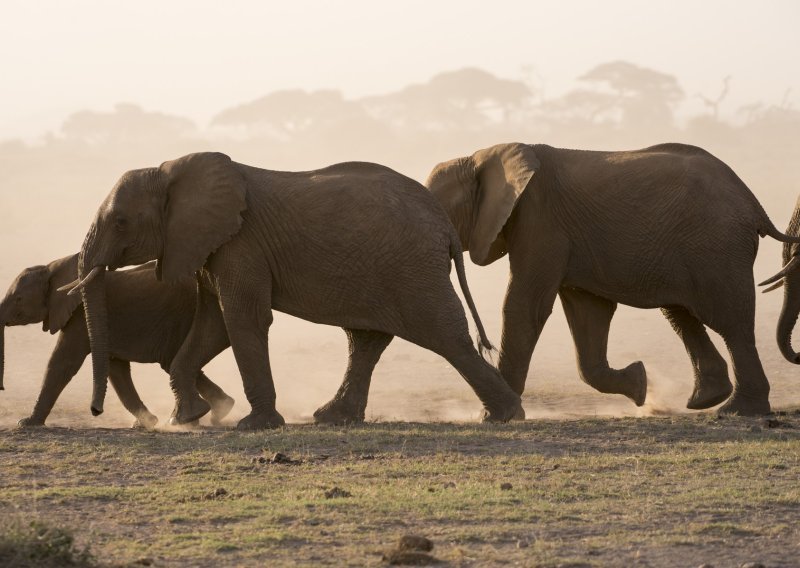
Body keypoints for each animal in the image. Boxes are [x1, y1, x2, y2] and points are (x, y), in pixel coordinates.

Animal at [0, 255, 233, 428]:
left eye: (18, 299)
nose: (95, 411)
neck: (53, 267)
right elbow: (116, 370)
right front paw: (146, 423)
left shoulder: (79, 317)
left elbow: (63, 362)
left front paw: (26, 423)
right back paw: (219, 411)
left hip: (183, 315)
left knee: (172, 360)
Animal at [67, 153, 520, 428]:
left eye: (121, 223)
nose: (95, 409)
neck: (171, 170)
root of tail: (444, 223)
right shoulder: (212, 247)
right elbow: (213, 323)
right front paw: (188, 419)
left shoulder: (240, 243)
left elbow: (241, 318)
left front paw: (254, 426)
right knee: (366, 340)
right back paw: (332, 418)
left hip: (413, 268)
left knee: (446, 337)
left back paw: (504, 416)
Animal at [424, 144, 800, 414]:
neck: (481, 157)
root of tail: (752, 202)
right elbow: (587, 312)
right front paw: (639, 384)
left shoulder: (540, 221)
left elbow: (524, 306)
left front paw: (491, 416)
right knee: (681, 312)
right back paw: (705, 401)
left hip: (716, 246)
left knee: (729, 322)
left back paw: (738, 411)